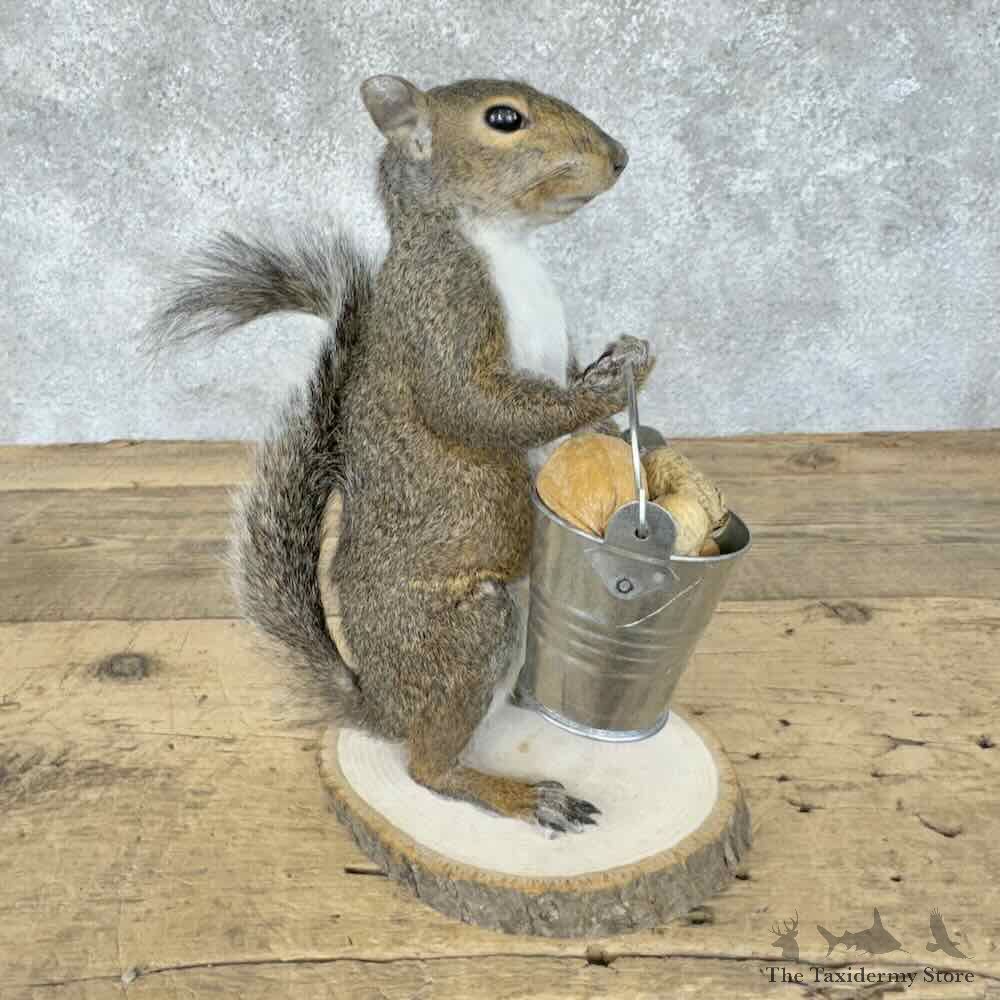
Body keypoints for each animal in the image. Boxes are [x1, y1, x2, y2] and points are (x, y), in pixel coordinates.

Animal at [149, 75, 655, 832]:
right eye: (504, 119)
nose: (619, 157)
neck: (502, 243)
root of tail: (380, 706)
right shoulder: (440, 318)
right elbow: (475, 408)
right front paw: (608, 389)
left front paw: (621, 384)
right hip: (467, 633)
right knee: (428, 768)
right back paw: (518, 794)